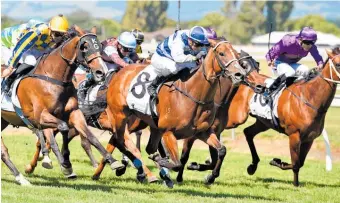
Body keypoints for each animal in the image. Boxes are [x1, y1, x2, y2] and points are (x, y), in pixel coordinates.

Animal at [0, 25, 125, 184]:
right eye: (85, 46)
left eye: (100, 47)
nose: (100, 72)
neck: (53, 77)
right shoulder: (40, 116)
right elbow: (61, 131)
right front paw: (65, 165)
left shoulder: (74, 113)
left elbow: (90, 136)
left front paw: (114, 162)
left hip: (3, 121)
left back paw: (21, 178)